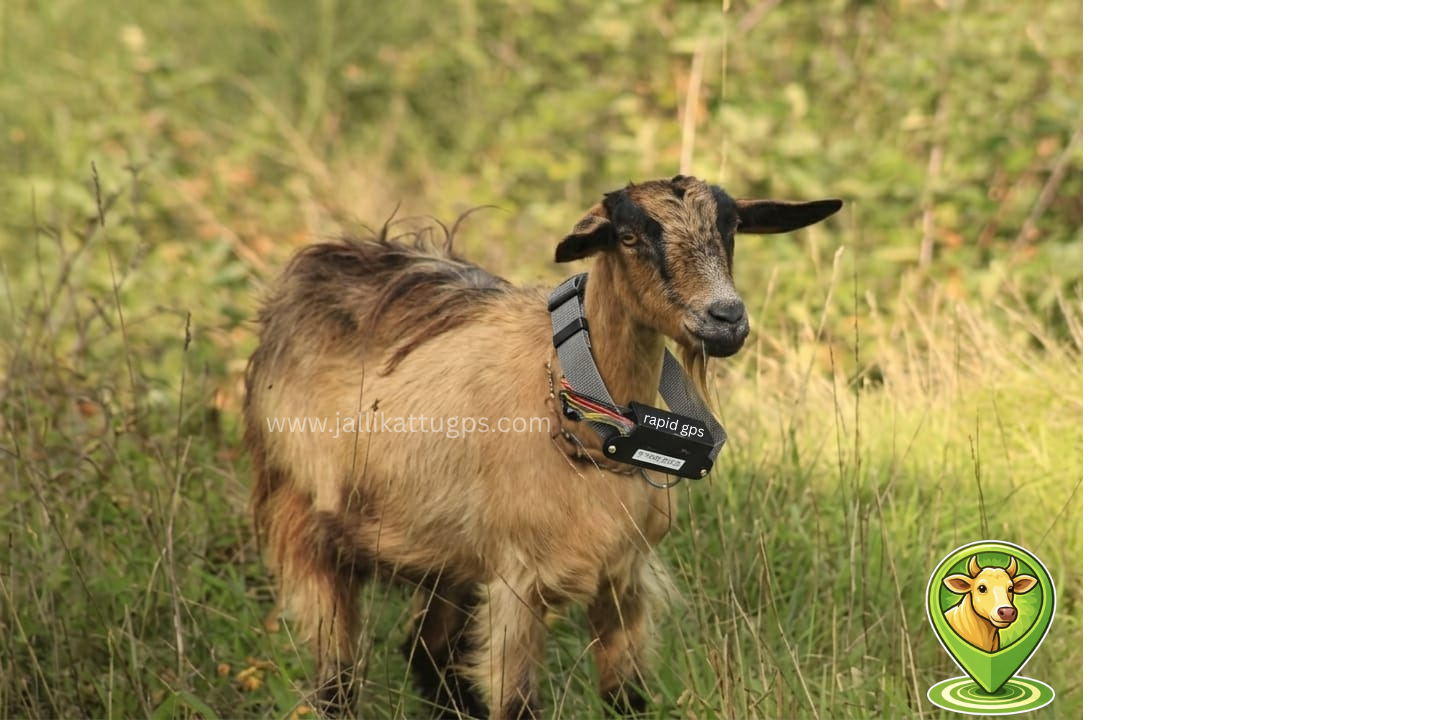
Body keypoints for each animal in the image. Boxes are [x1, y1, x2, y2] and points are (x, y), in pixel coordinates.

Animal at [243, 176, 842, 719]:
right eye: (628, 236)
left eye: (731, 227)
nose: (726, 320)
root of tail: (333, 256)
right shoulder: (516, 584)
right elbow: (517, 705)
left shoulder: (623, 578)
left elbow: (627, 700)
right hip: (304, 520)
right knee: (339, 676)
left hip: (450, 558)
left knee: (425, 652)